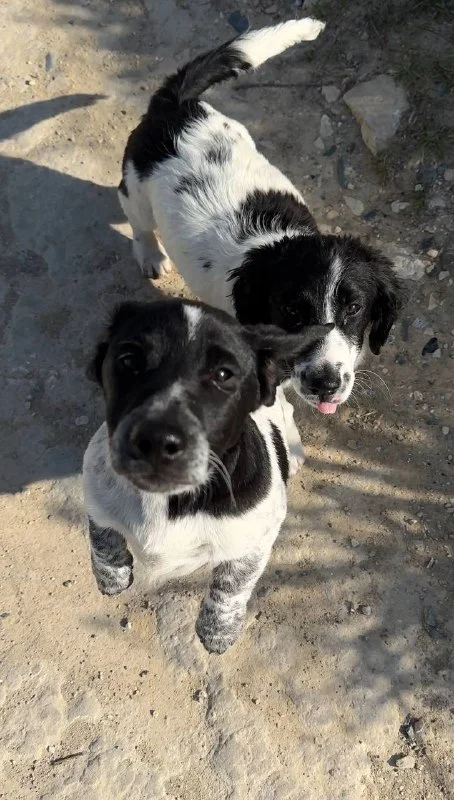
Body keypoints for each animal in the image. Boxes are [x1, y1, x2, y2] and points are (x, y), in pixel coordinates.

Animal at [83, 298, 329, 652]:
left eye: (224, 374)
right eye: (128, 360)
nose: (157, 440)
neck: (165, 500)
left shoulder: (258, 537)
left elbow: (231, 586)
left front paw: (218, 630)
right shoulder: (94, 491)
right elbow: (102, 536)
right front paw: (112, 577)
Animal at [119, 19, 406, 416]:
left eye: (355, 307)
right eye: (291, 310)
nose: (325, 386)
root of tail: (175, 104)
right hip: (135, 187)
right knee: (137, 219)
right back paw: (150, 254)